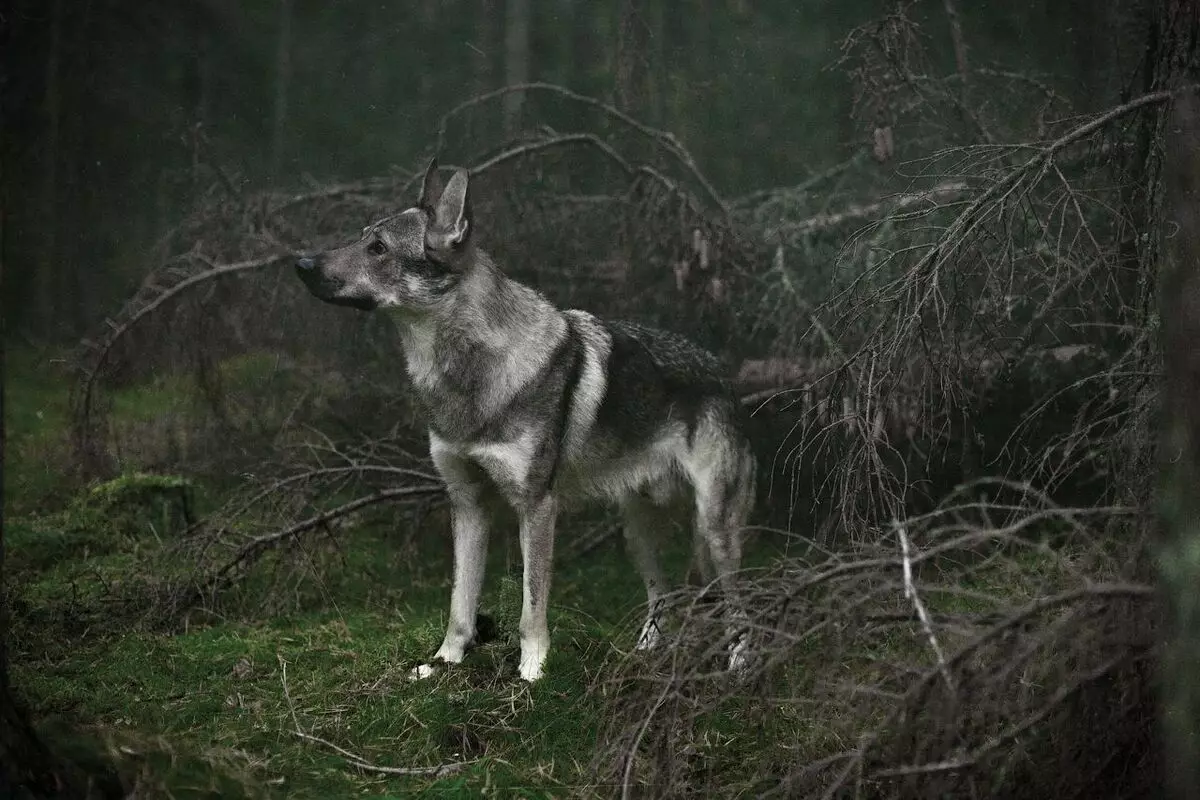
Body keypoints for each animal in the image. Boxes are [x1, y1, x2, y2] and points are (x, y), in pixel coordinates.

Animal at [294, 158, 753, 681]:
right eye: (361, 238)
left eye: (378, 248)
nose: (300, 263)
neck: (466, 376)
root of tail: (724, 375)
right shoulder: (468, 504)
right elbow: (460, 602)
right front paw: (443, 663)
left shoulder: (536, 507)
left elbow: (532, 607)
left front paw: (532, 672)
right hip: (637, 531)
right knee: (665, 596)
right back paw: (645, 654)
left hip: (714, 530)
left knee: (739, 606)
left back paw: (740, 665)